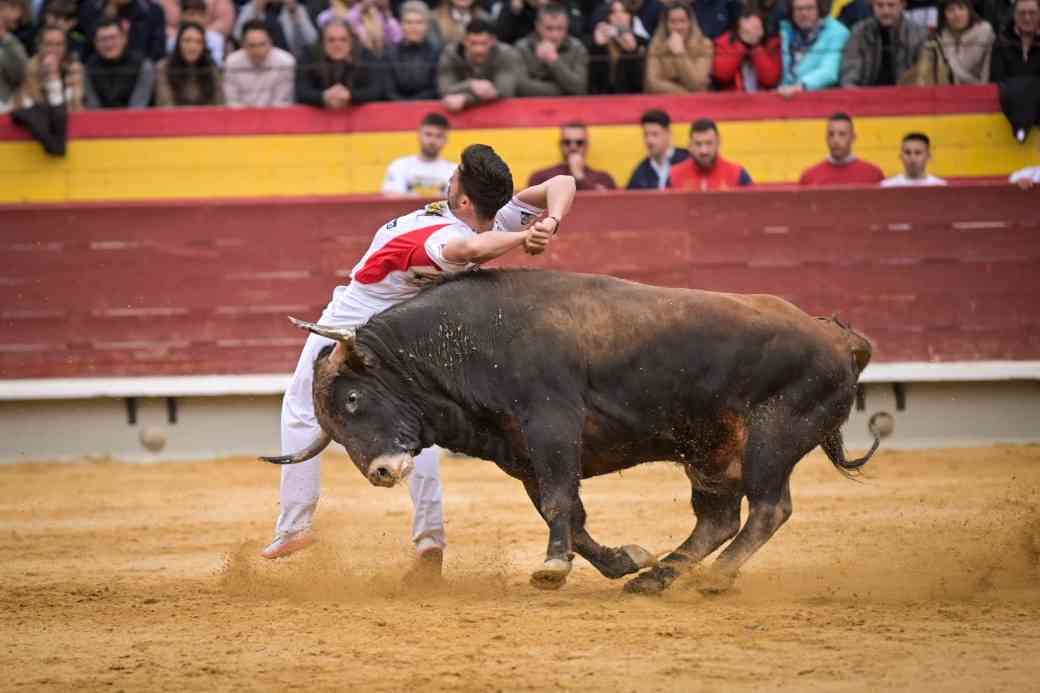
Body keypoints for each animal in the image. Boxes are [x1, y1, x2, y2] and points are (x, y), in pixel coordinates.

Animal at [262, 266, 877, 591]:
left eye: (353, 398)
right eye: (333, 428)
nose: (383, 472)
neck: (464, 342)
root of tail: (836, 337)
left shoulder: (551, 427)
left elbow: (561, 503)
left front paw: (552, 569)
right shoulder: (522, 456)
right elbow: (570, 515)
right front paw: (624, 560)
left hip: (773, 437)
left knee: (769, 509)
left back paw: (712, 580)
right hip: (709, 451)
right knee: (719, 518)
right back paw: (657, 578)